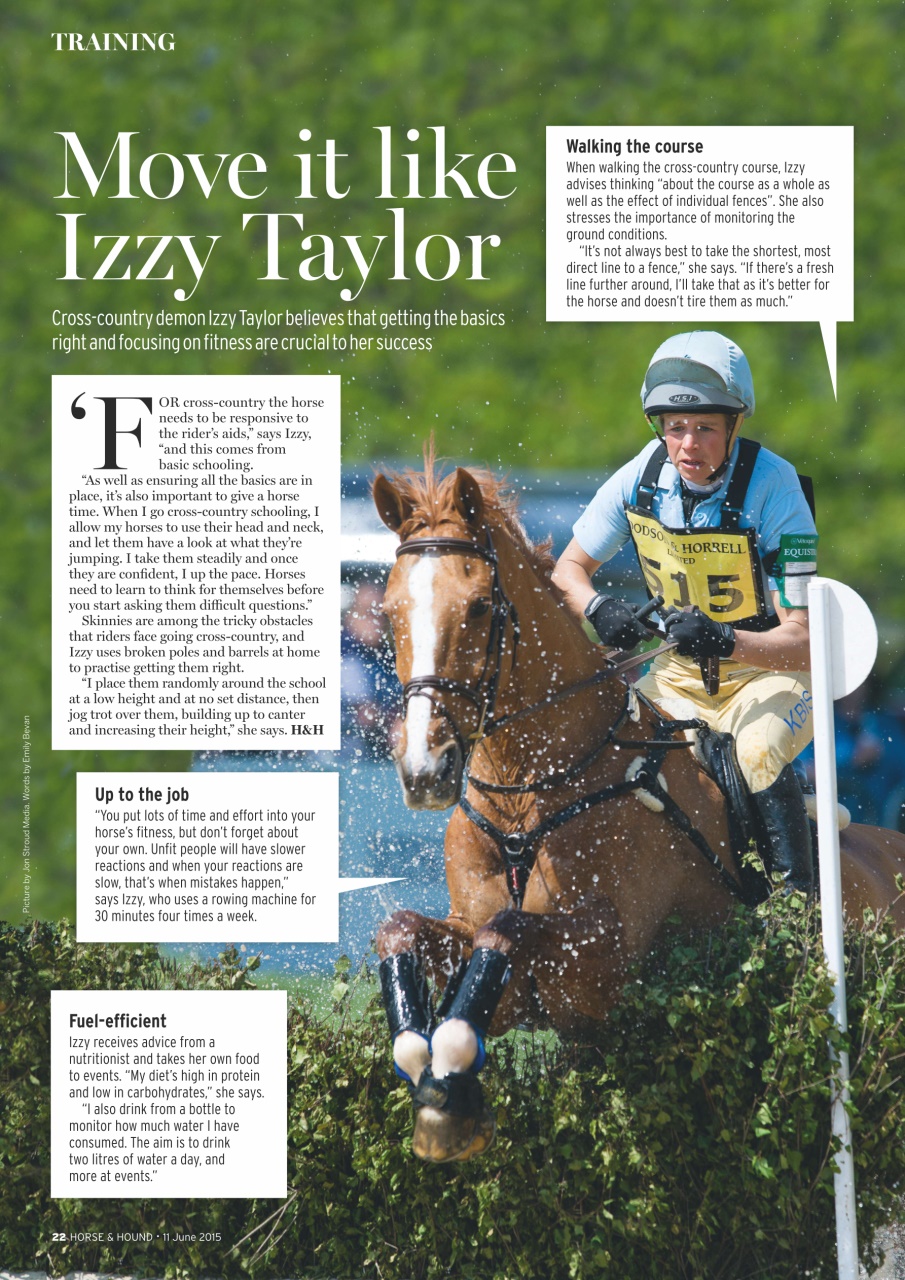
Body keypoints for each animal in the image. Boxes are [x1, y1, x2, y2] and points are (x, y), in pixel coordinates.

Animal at [371, 456, 905, 1163]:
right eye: (389, 610)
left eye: (481, 605)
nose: (424, 771)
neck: (529, 793)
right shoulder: (506, 980)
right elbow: (404, 929)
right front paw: (432, 1080)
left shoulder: (601, 967)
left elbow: (508, 930)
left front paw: (449, 1094)